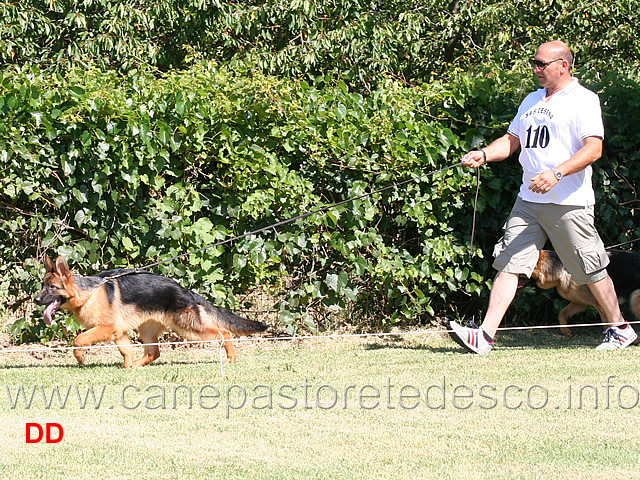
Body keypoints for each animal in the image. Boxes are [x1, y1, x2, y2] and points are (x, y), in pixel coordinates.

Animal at [33, 255, 268, 368]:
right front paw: (127, 365)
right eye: (43, 286)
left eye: (51, 288)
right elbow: (126, 351)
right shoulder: (119, 332)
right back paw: (136, 366)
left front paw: (80, 358)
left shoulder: (107, 328)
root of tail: (186, 290)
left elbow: (78, 340)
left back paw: (231, 358)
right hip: (146, 330)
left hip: (188, 328)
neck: (88, 293)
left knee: (224, 333)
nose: (36, 300)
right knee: (154, 352)